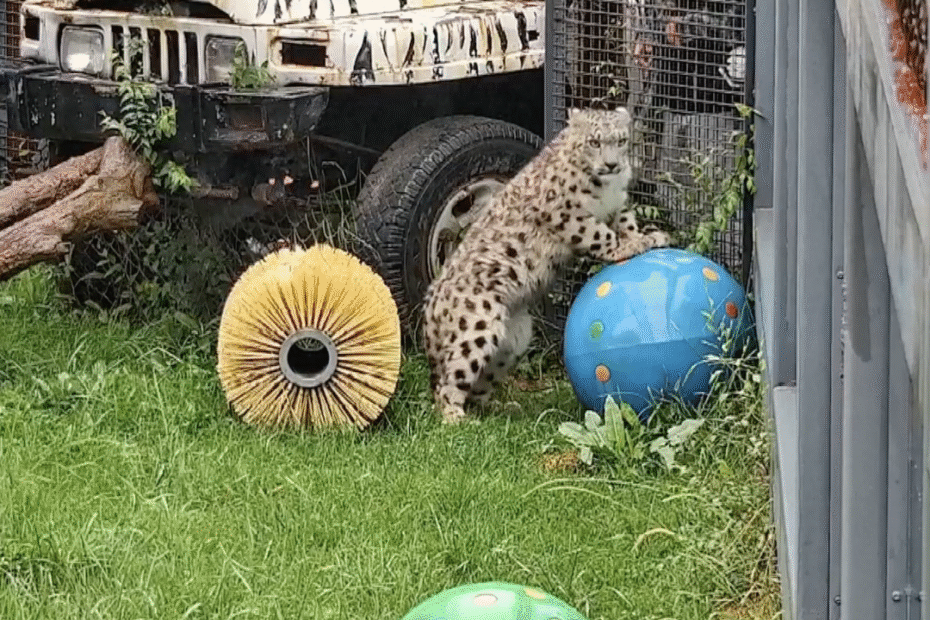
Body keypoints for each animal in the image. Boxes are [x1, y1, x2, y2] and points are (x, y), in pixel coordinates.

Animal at [422, 106, 671, 423]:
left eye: (621, 140)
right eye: (594, 142)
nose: (612, 164)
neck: (607, 189)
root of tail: (431, 308)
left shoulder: (619, 205)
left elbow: (626, 223)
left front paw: (647, 236)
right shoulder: (566, 214)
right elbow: (601, 235)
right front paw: (632, 245)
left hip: (514, 338)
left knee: (481, 380)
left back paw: (498, 409)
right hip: (476, 327)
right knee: (448, 380)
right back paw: (456, 417)